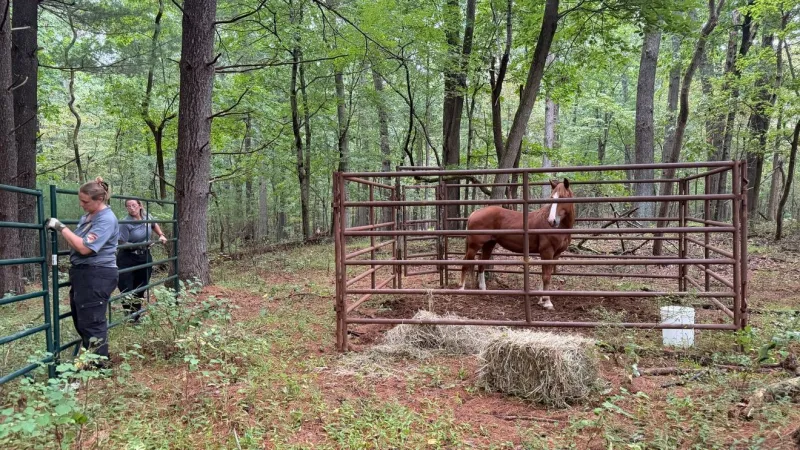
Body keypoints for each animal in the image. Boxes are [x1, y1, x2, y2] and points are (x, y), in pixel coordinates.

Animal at [458, 179, 575, 310]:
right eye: (551, 197)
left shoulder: (555, 254)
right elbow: (546, 277)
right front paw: (547, 302)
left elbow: (545, 275)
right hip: (474, 246)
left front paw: (541, 300)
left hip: (488, 245)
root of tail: (474, 214)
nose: (552, 221)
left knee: (481, 265)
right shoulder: (547, 252)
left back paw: (483, 290)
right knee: (465, 263)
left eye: (563, 197)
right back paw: (461, 288)